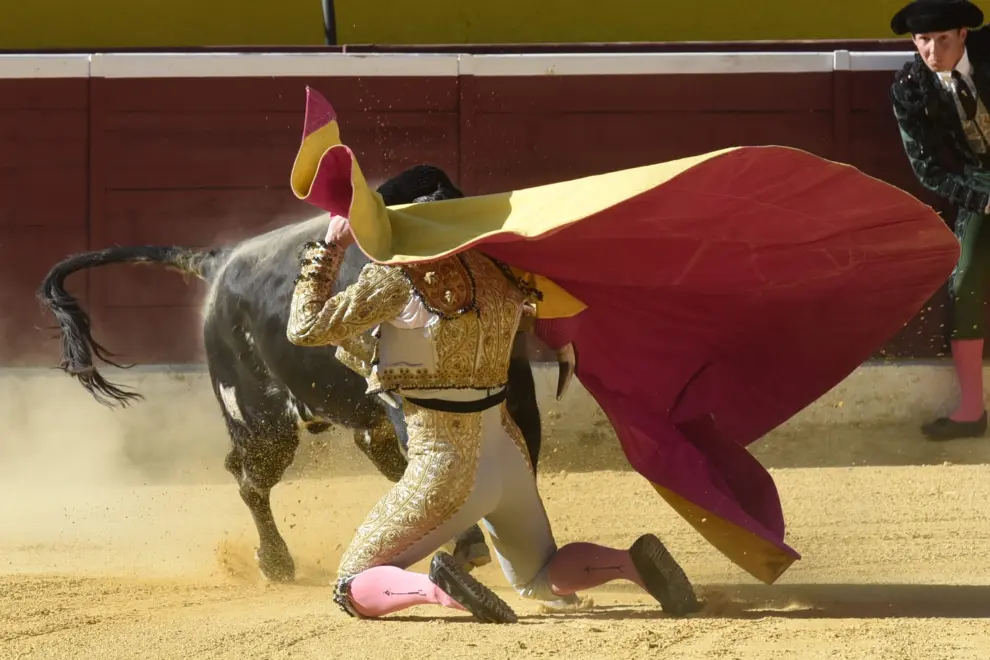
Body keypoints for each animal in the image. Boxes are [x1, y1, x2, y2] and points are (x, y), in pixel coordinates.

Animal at [36, 166, 552, 584]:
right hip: (263, 421)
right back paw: (276, 562)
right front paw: (469, 545)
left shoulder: (518, 394)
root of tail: (220, 261)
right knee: (251, 479)